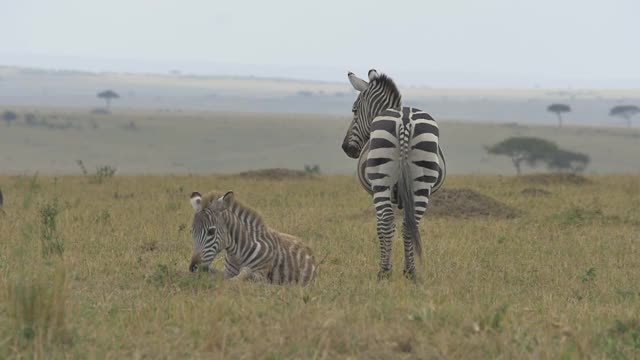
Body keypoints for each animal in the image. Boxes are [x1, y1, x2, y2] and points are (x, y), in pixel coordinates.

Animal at [188, 190, 318, 286]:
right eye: (192, 232)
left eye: (211, 232)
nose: (193, 267)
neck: (236, 254)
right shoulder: (227, 272)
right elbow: (219, 274)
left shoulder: (261, 274)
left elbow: (244, 274)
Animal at [340, 69, 444, 280]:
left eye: (354, 110)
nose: (346, 148)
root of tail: (405, 120)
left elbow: (381, 226)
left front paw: (385, 266)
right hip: (422, 183)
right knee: (410, 225)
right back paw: (410, 272)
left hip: (382, 182)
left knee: (387, 221)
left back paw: (384, 273)